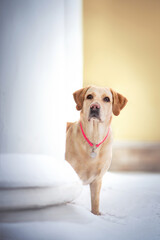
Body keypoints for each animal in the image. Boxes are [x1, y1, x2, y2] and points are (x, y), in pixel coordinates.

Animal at [65, 86, 127, 216]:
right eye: (89, 96)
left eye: (107, 99)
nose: (94, 107)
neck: (94, 138)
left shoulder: (97, 180)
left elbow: (95, 202)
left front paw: (96, 214)